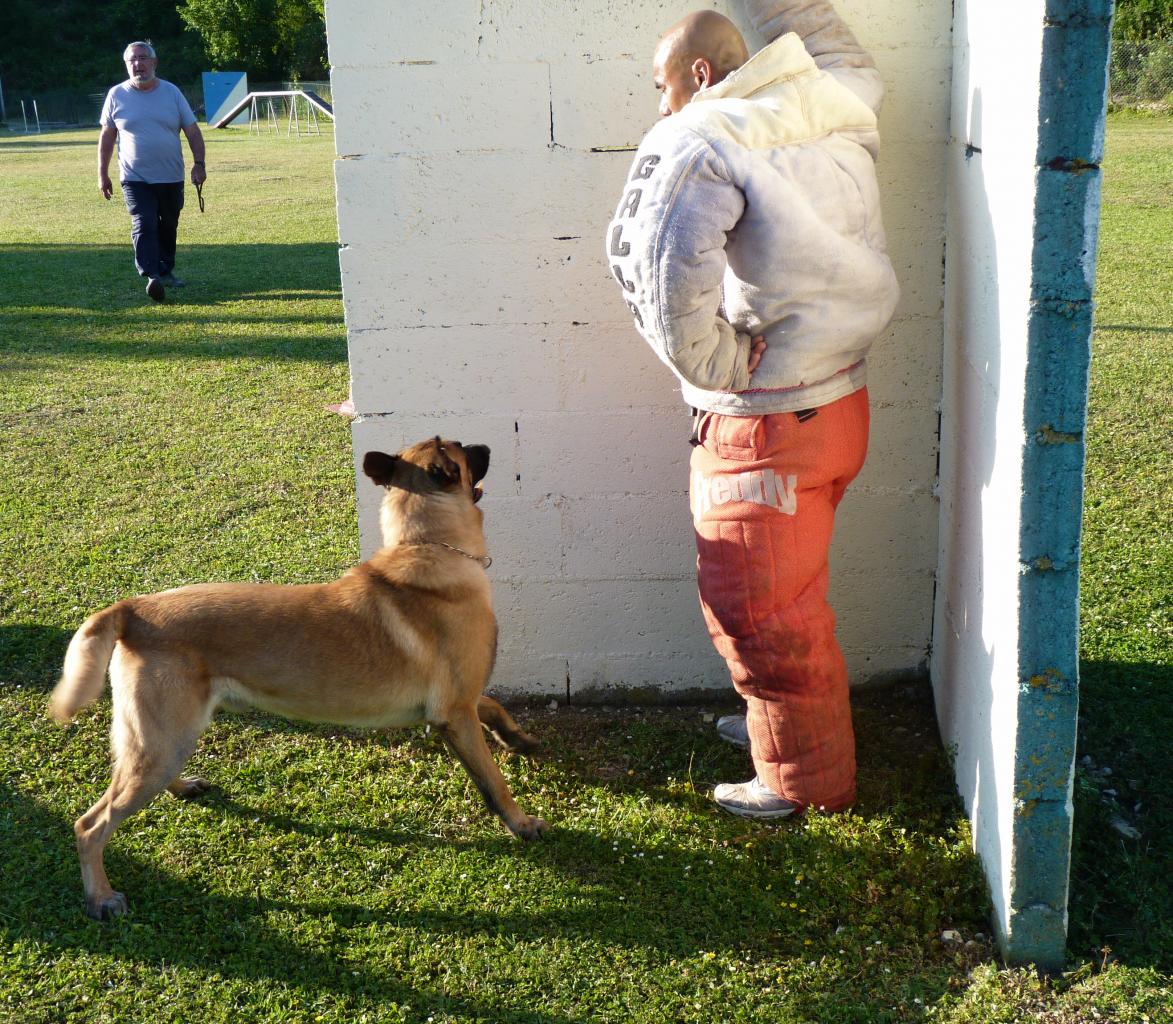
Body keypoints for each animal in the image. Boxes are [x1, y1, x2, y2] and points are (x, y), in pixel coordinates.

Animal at [50, 433, 548, 919]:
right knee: (90, 825)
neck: (426, 548)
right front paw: (521, 823)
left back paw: (182, 786)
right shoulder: (454, 712)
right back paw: (100, 898)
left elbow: (493, 705)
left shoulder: (460, 700)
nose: (486, 446)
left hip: (167, 737)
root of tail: (133, 610)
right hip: (161, 742)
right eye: (462, 449)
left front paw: (517, 738)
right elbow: (493, 782)